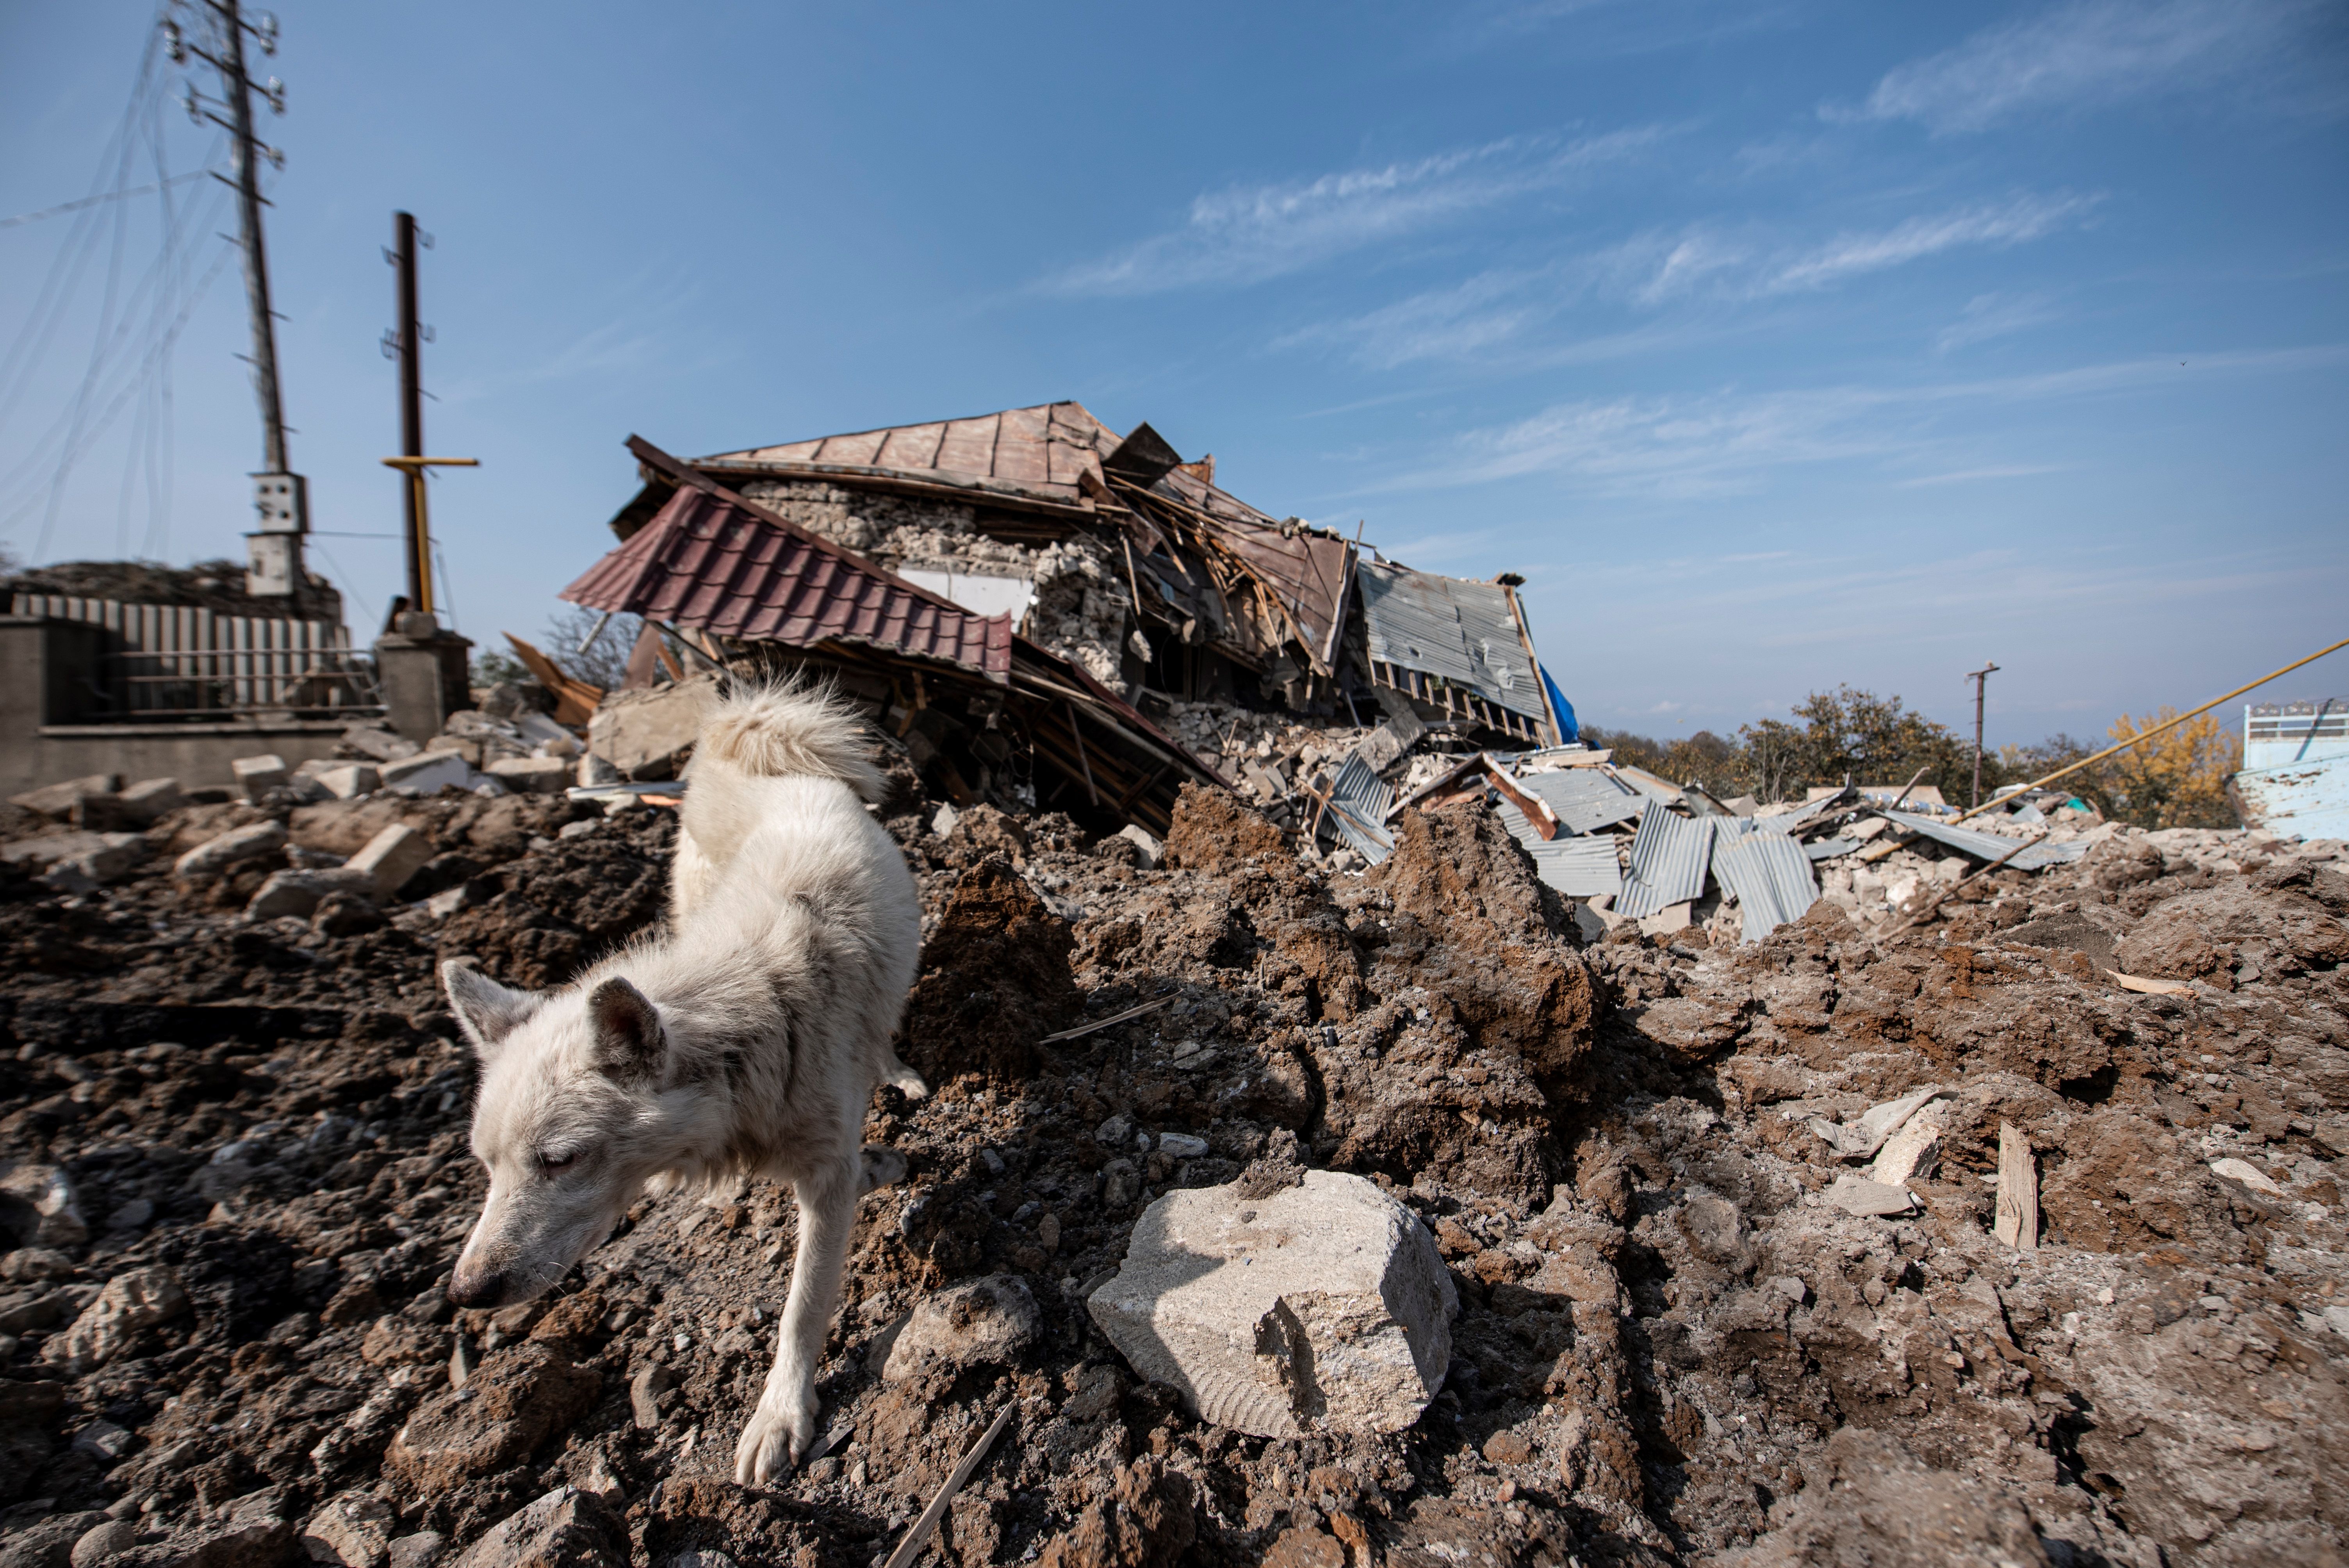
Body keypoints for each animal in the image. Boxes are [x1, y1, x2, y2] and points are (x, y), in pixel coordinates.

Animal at [442, 681, 925, 1483]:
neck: (752, 1031)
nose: (467, 1292)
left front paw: (779, 1414)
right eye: (487, 1167)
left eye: (561, 1159)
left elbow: (802, 1307)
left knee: (884, 1028)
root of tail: (750, 753)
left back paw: (897, 1070)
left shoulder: (825, 1175)